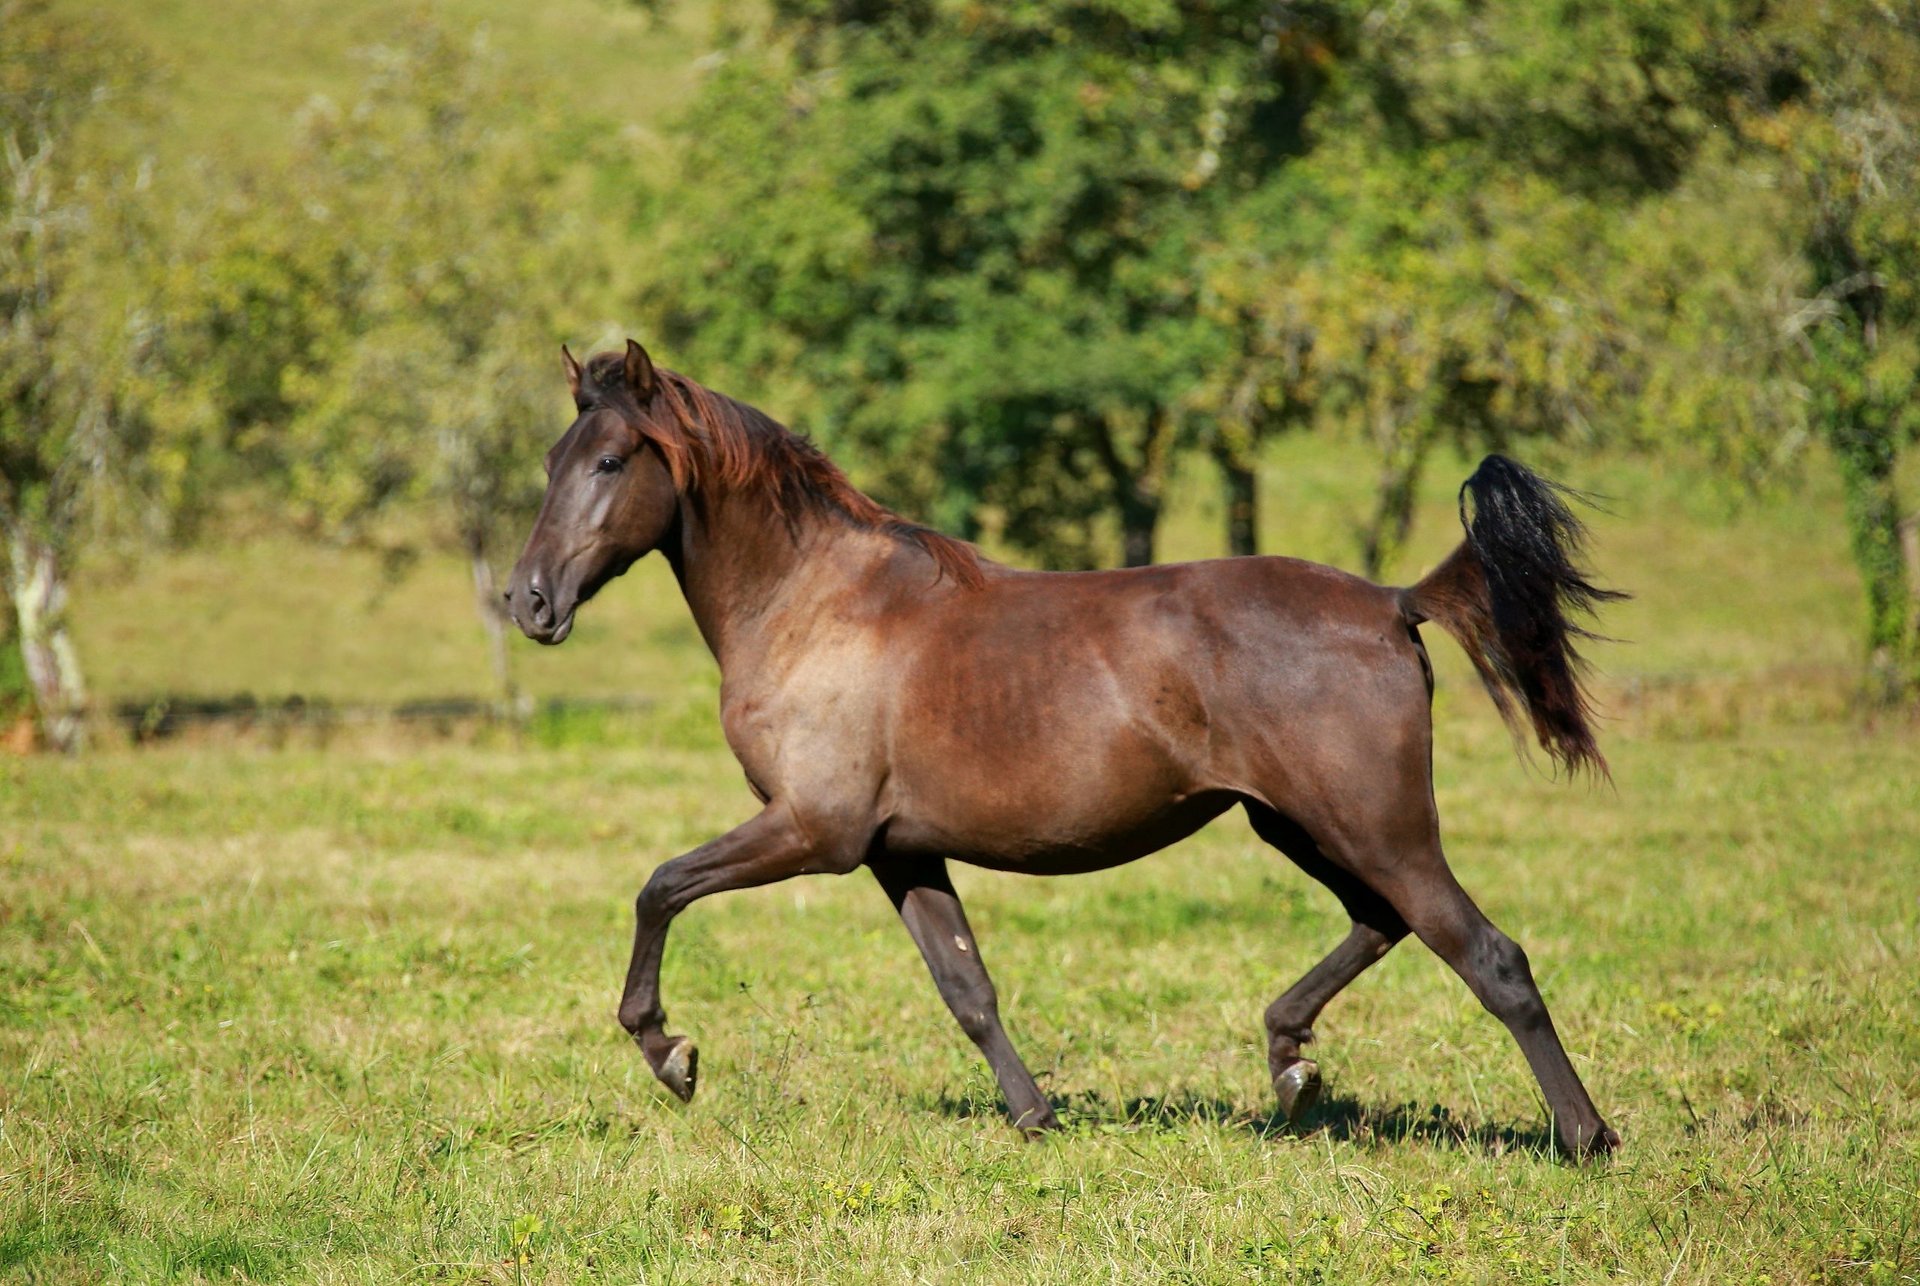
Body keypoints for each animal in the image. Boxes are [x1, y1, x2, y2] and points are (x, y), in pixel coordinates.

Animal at [503, 339, 1628, 1159]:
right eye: (550, 463)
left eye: (611, 461)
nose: (529, 601)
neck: (816, 604)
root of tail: (1395, 603)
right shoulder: (899, 849)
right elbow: (967, 986)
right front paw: (1036, 1115)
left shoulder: (813, 830)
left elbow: (659, 885)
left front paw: (671, 1054)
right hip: (1298, 824)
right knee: (1383, 922)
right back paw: (1291, 1065)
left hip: (1375, 825)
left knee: (1489, 955)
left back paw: (1584, 1137)